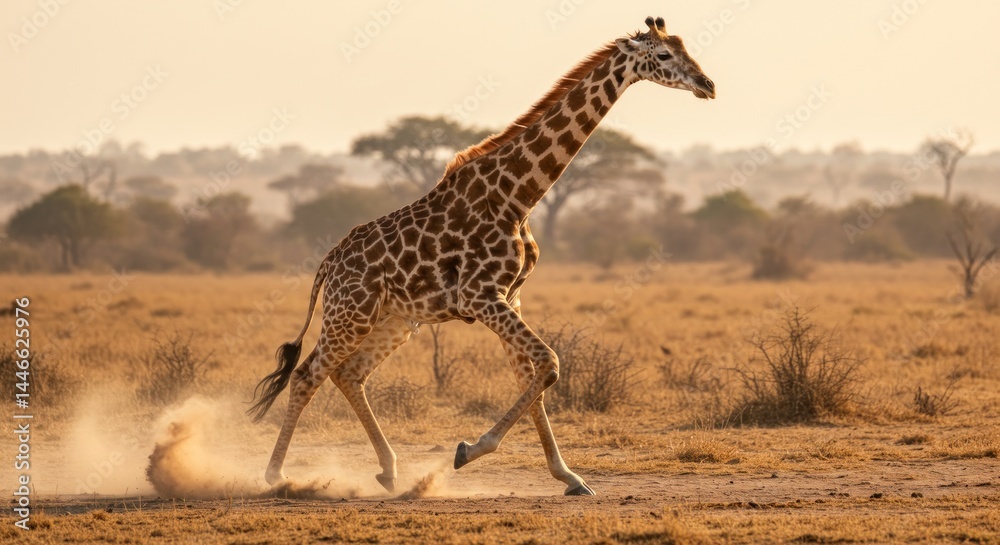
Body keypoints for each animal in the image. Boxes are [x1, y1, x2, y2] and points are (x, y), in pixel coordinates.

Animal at [249, 16, 715, 496]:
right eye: (664, 55)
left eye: (687, 48)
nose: (708, 85)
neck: (517, 196)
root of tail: (328, 263)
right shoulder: (479, 296)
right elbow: (550, 363)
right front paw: (469, 450)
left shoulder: (510, 296)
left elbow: (533, 375)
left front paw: (568, 476)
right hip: (351, 313)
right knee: (308, 374)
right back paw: (277, 476)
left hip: (394, 319)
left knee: (349, 374)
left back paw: (389, 470)